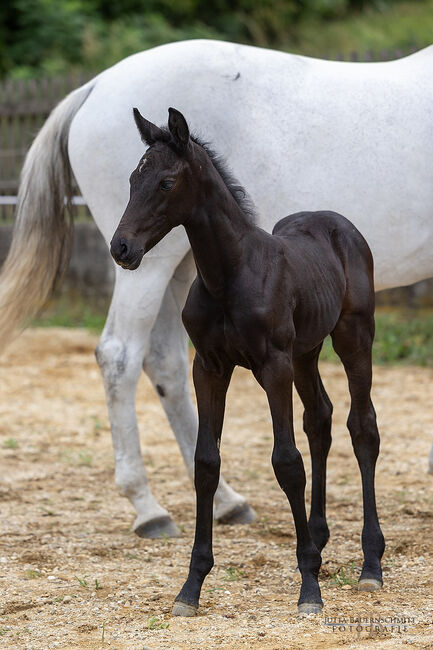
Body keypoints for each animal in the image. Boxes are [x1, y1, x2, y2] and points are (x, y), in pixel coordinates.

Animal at [0, 41, 432, 536]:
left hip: (175, 268)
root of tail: (93, 86)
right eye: (133, 179)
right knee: (119, 355)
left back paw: (226, 502)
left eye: (167, 182)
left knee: (165, 363)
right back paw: (148, 507)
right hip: (152, 266)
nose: (120, 246)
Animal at [110, 106, 384, 612]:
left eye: (167, 182)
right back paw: (317, 540)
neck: (229, 275)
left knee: (362, 428)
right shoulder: (209, 368)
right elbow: (206, 462)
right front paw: (191, 586)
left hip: (354, 336)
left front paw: (309, 589)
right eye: (133, 179)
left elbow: (287, 462)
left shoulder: (272, 365)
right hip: (305, 352)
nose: (121, 248)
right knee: (320, 420)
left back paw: (370, 564)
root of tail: (337, 222)